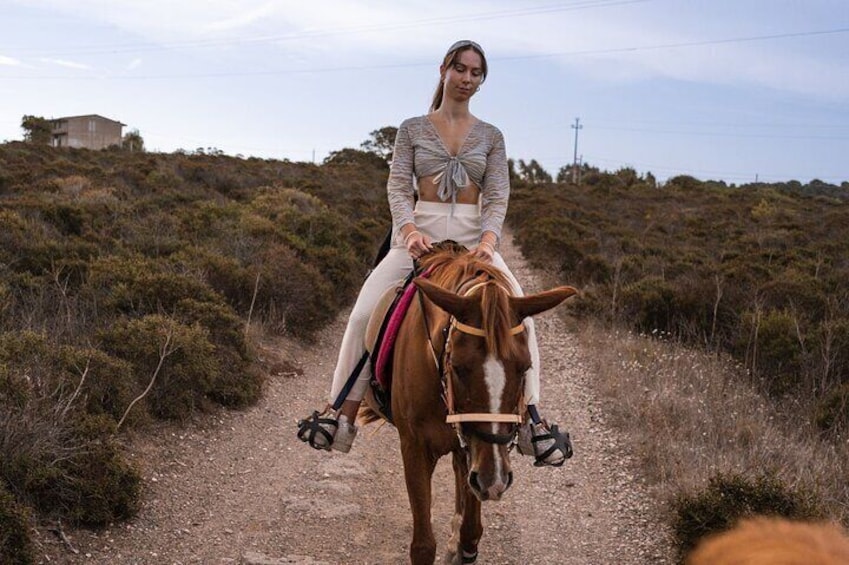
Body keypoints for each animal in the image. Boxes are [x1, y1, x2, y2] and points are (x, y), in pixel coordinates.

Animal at [362, 246, 580, 564]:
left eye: (525, 367)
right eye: (457, 366)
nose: (495, 479)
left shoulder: (474, 449)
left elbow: (471, 531)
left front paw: (460, 543)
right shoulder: (414, 448)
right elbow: (423, 545)